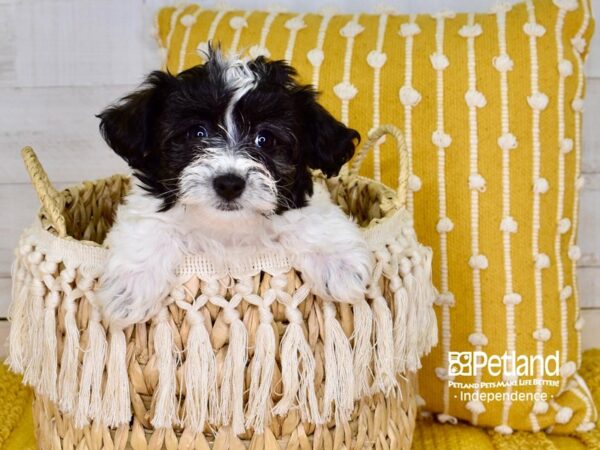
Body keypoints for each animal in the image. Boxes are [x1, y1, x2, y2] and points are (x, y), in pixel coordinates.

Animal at [96, 49, 372, 328]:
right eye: (197, 133)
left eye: (265, 139)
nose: (229, 184)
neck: (227, 227)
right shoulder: (150, 207)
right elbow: (149, 228)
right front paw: (131, 288)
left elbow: (313, 219)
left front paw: (339, 265)